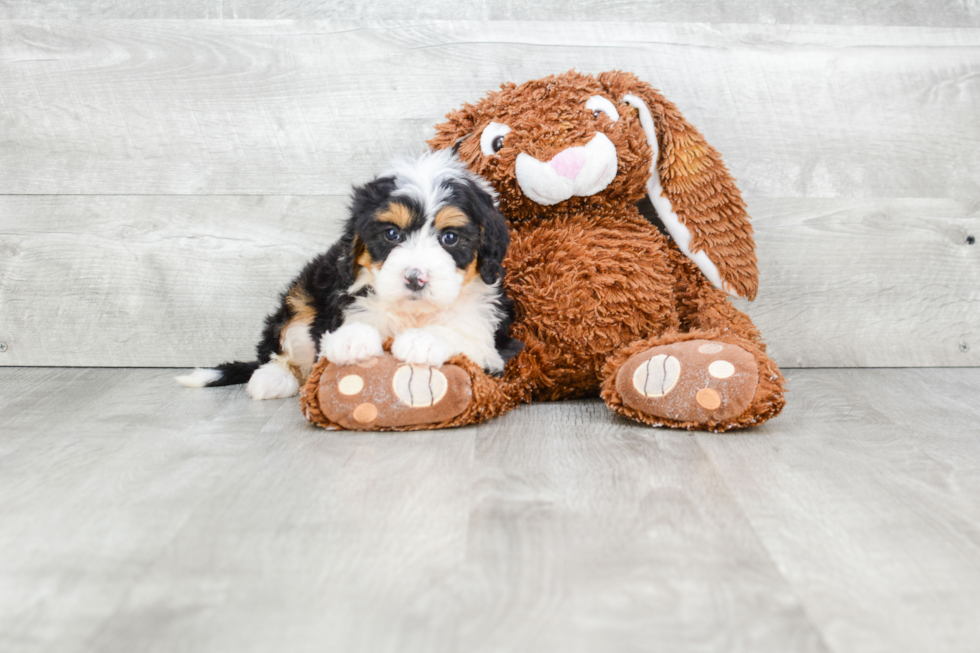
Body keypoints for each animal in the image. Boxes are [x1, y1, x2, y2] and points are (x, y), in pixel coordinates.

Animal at [174, 150, 520, 400]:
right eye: (391, 234)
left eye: (450, 238)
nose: (414, 278)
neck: (412, 311)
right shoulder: (345, 297)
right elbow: (351, 326)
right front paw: (352, 339)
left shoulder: (494, 338)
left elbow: (462, 334)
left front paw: (423, 340)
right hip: (303, 291)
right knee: (279, 345)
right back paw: (273, 378)